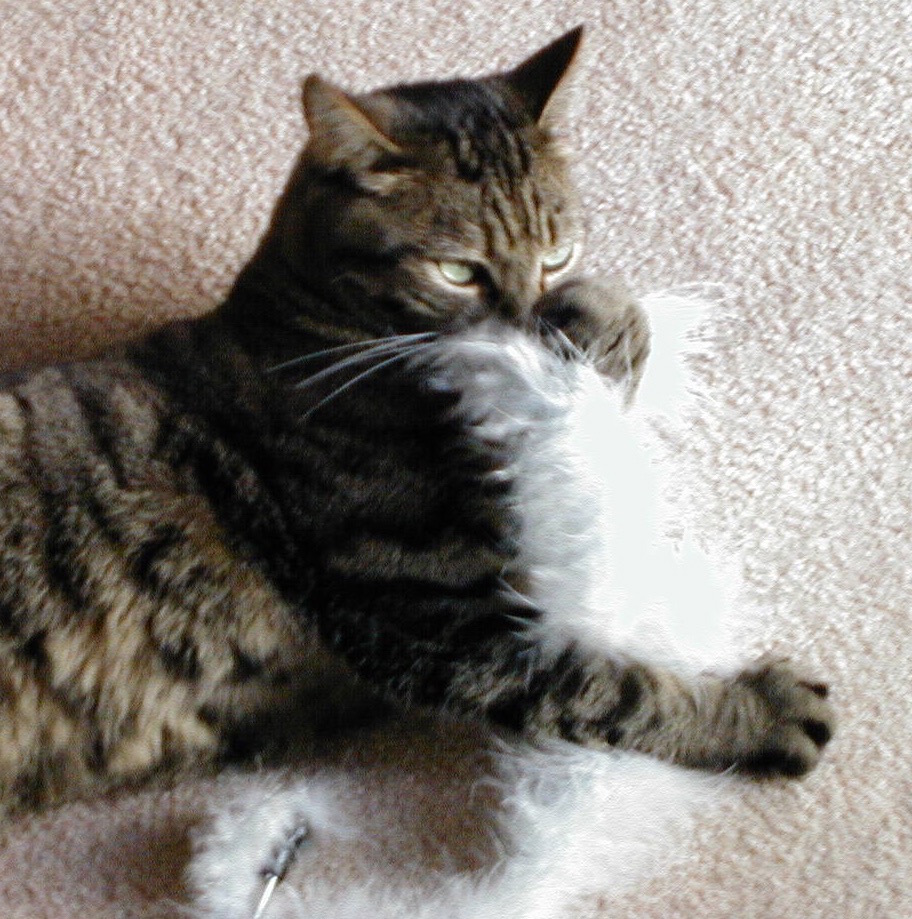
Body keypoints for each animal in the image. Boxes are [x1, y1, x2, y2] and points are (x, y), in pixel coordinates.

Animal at [0, 25, 832, 808]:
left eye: (555, 254)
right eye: (458, 271)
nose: (527, 325)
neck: (309, 326)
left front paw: (593, 318)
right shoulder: (432, 610)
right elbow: (611, 689)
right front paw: (757, 712)